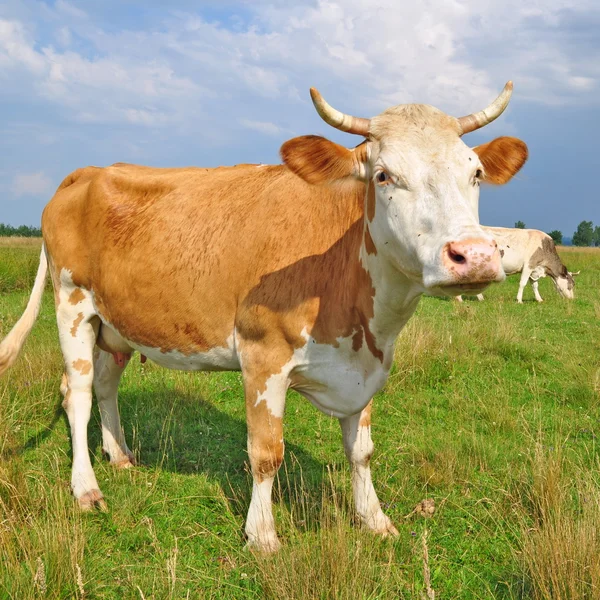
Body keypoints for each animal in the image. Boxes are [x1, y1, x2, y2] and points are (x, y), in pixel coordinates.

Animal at [0, 82, 524, 552]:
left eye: (476, 172)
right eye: (383, 175)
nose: (475, 255)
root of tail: (85, 172)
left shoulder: (366, 364)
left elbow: (361, 451)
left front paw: (375, 520)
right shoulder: (262, 356)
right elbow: (266, 453)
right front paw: (263, 535)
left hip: (118, 324)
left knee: (107, 386)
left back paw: (121, 456)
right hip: (72, 303)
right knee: (78, 393)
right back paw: (86, 488)